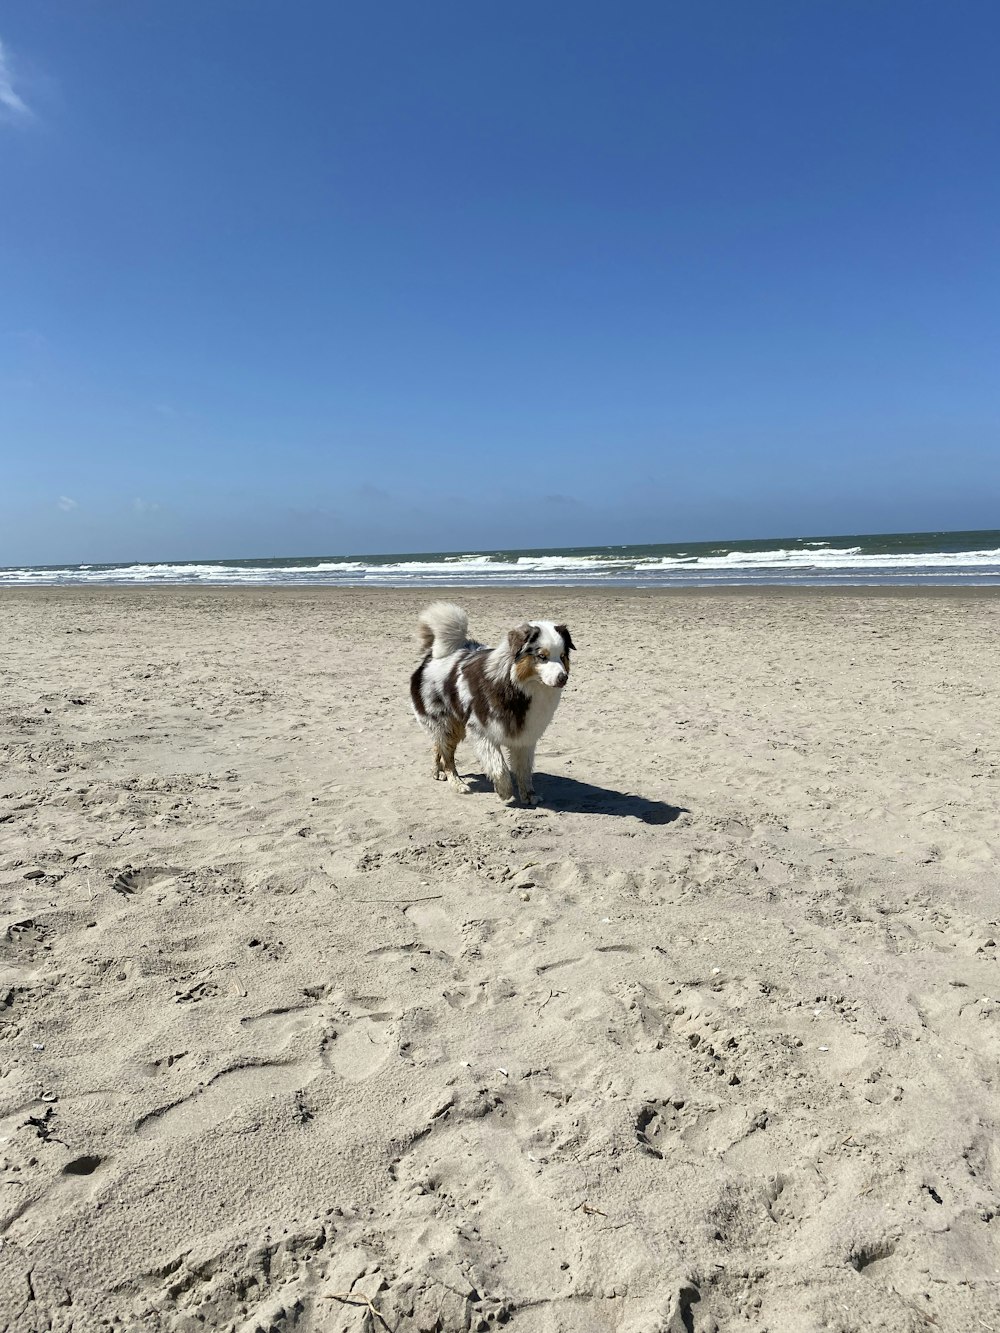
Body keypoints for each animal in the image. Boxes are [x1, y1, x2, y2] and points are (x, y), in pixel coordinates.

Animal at [408, 602, 578, 799]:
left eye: (563, 656)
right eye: (542, 656)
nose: (563, 678)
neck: (517, 686)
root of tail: (431, 655)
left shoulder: (526, 734)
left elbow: (524, 769)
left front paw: (528, 795)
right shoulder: (481, 731)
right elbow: (499, 765)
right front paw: (504, 790)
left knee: (437, 746)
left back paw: (437, 771)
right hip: (447, 724)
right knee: (447, 756)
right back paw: (457, 783)